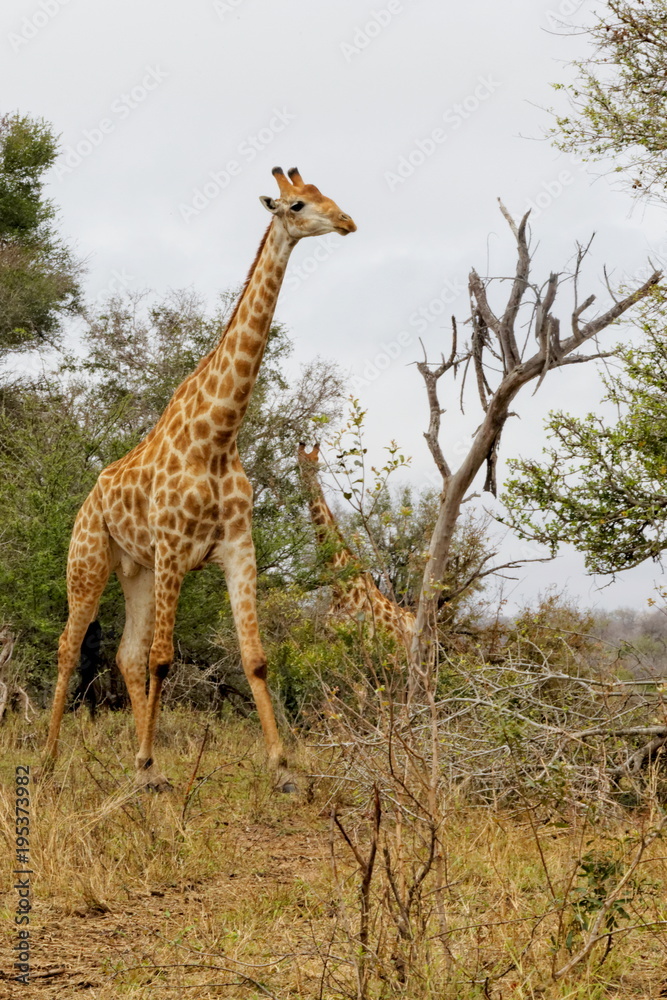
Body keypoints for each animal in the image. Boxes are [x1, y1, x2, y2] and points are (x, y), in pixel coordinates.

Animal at [44, 167, 356, 792]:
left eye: (325, 193)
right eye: (296, 204)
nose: (346, 221)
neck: (217, 435)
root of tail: (89, 500)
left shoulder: (237, 547)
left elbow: (254, 657)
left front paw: (281, 767)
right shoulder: (173, 547)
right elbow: (165, 657)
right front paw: (149, 763)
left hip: (135, 569)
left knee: (125, 653)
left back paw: (136, 764)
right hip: (89, 559)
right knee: (72, 646)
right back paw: (48, 758)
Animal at [297, 444, 415, 644]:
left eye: (317, 464)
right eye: (299, 463)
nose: (307, 480)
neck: (340, 587)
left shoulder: (360, 639)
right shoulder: (330, 638)